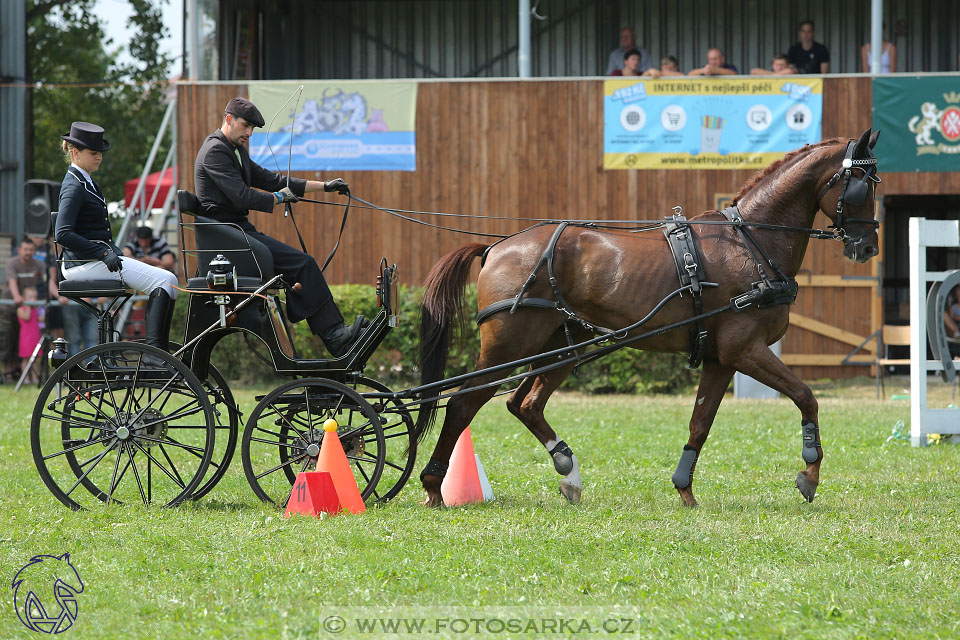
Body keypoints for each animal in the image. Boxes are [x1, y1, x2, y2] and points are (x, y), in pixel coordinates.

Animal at [412, 130, 876, 508]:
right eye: (859, 186)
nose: (867, 245)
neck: (749, 241)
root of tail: (497, 247)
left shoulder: (721, 358)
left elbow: (700, 422)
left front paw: (685, 488)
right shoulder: (745, 349)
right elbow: (806, 396)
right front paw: (810, 473)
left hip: (561, 344)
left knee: (523, 403)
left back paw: (569, 472)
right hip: (510, 344)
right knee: (463, 404)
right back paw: (434, 485)